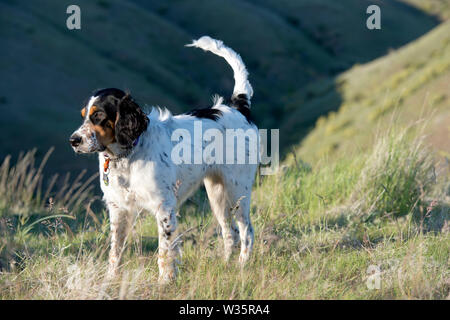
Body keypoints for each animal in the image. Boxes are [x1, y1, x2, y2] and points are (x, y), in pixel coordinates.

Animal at [69, 36, 256, 282]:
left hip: (237, 190)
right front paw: (110, 279)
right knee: (230, 232)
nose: (73, 140)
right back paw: (225, 266)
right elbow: (115, 251)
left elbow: (164, 251)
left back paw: (243, 266)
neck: (127, 157)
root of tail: (238, 108)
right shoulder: (118, 209)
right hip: (216, 193)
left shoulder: (164, 206)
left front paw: (165, 281)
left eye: (98, 115)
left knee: (246, 231)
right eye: (84, 116)